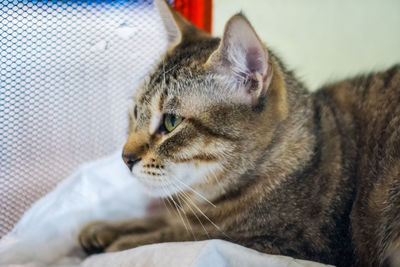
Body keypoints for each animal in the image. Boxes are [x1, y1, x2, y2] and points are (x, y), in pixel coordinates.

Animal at [78, 1, 400, 266]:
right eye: (135, 112)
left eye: (170, 122)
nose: (125, 157)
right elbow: (162, 221)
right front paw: (106, 227)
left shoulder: (283, 244)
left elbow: (181, 235)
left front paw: (122, 241)